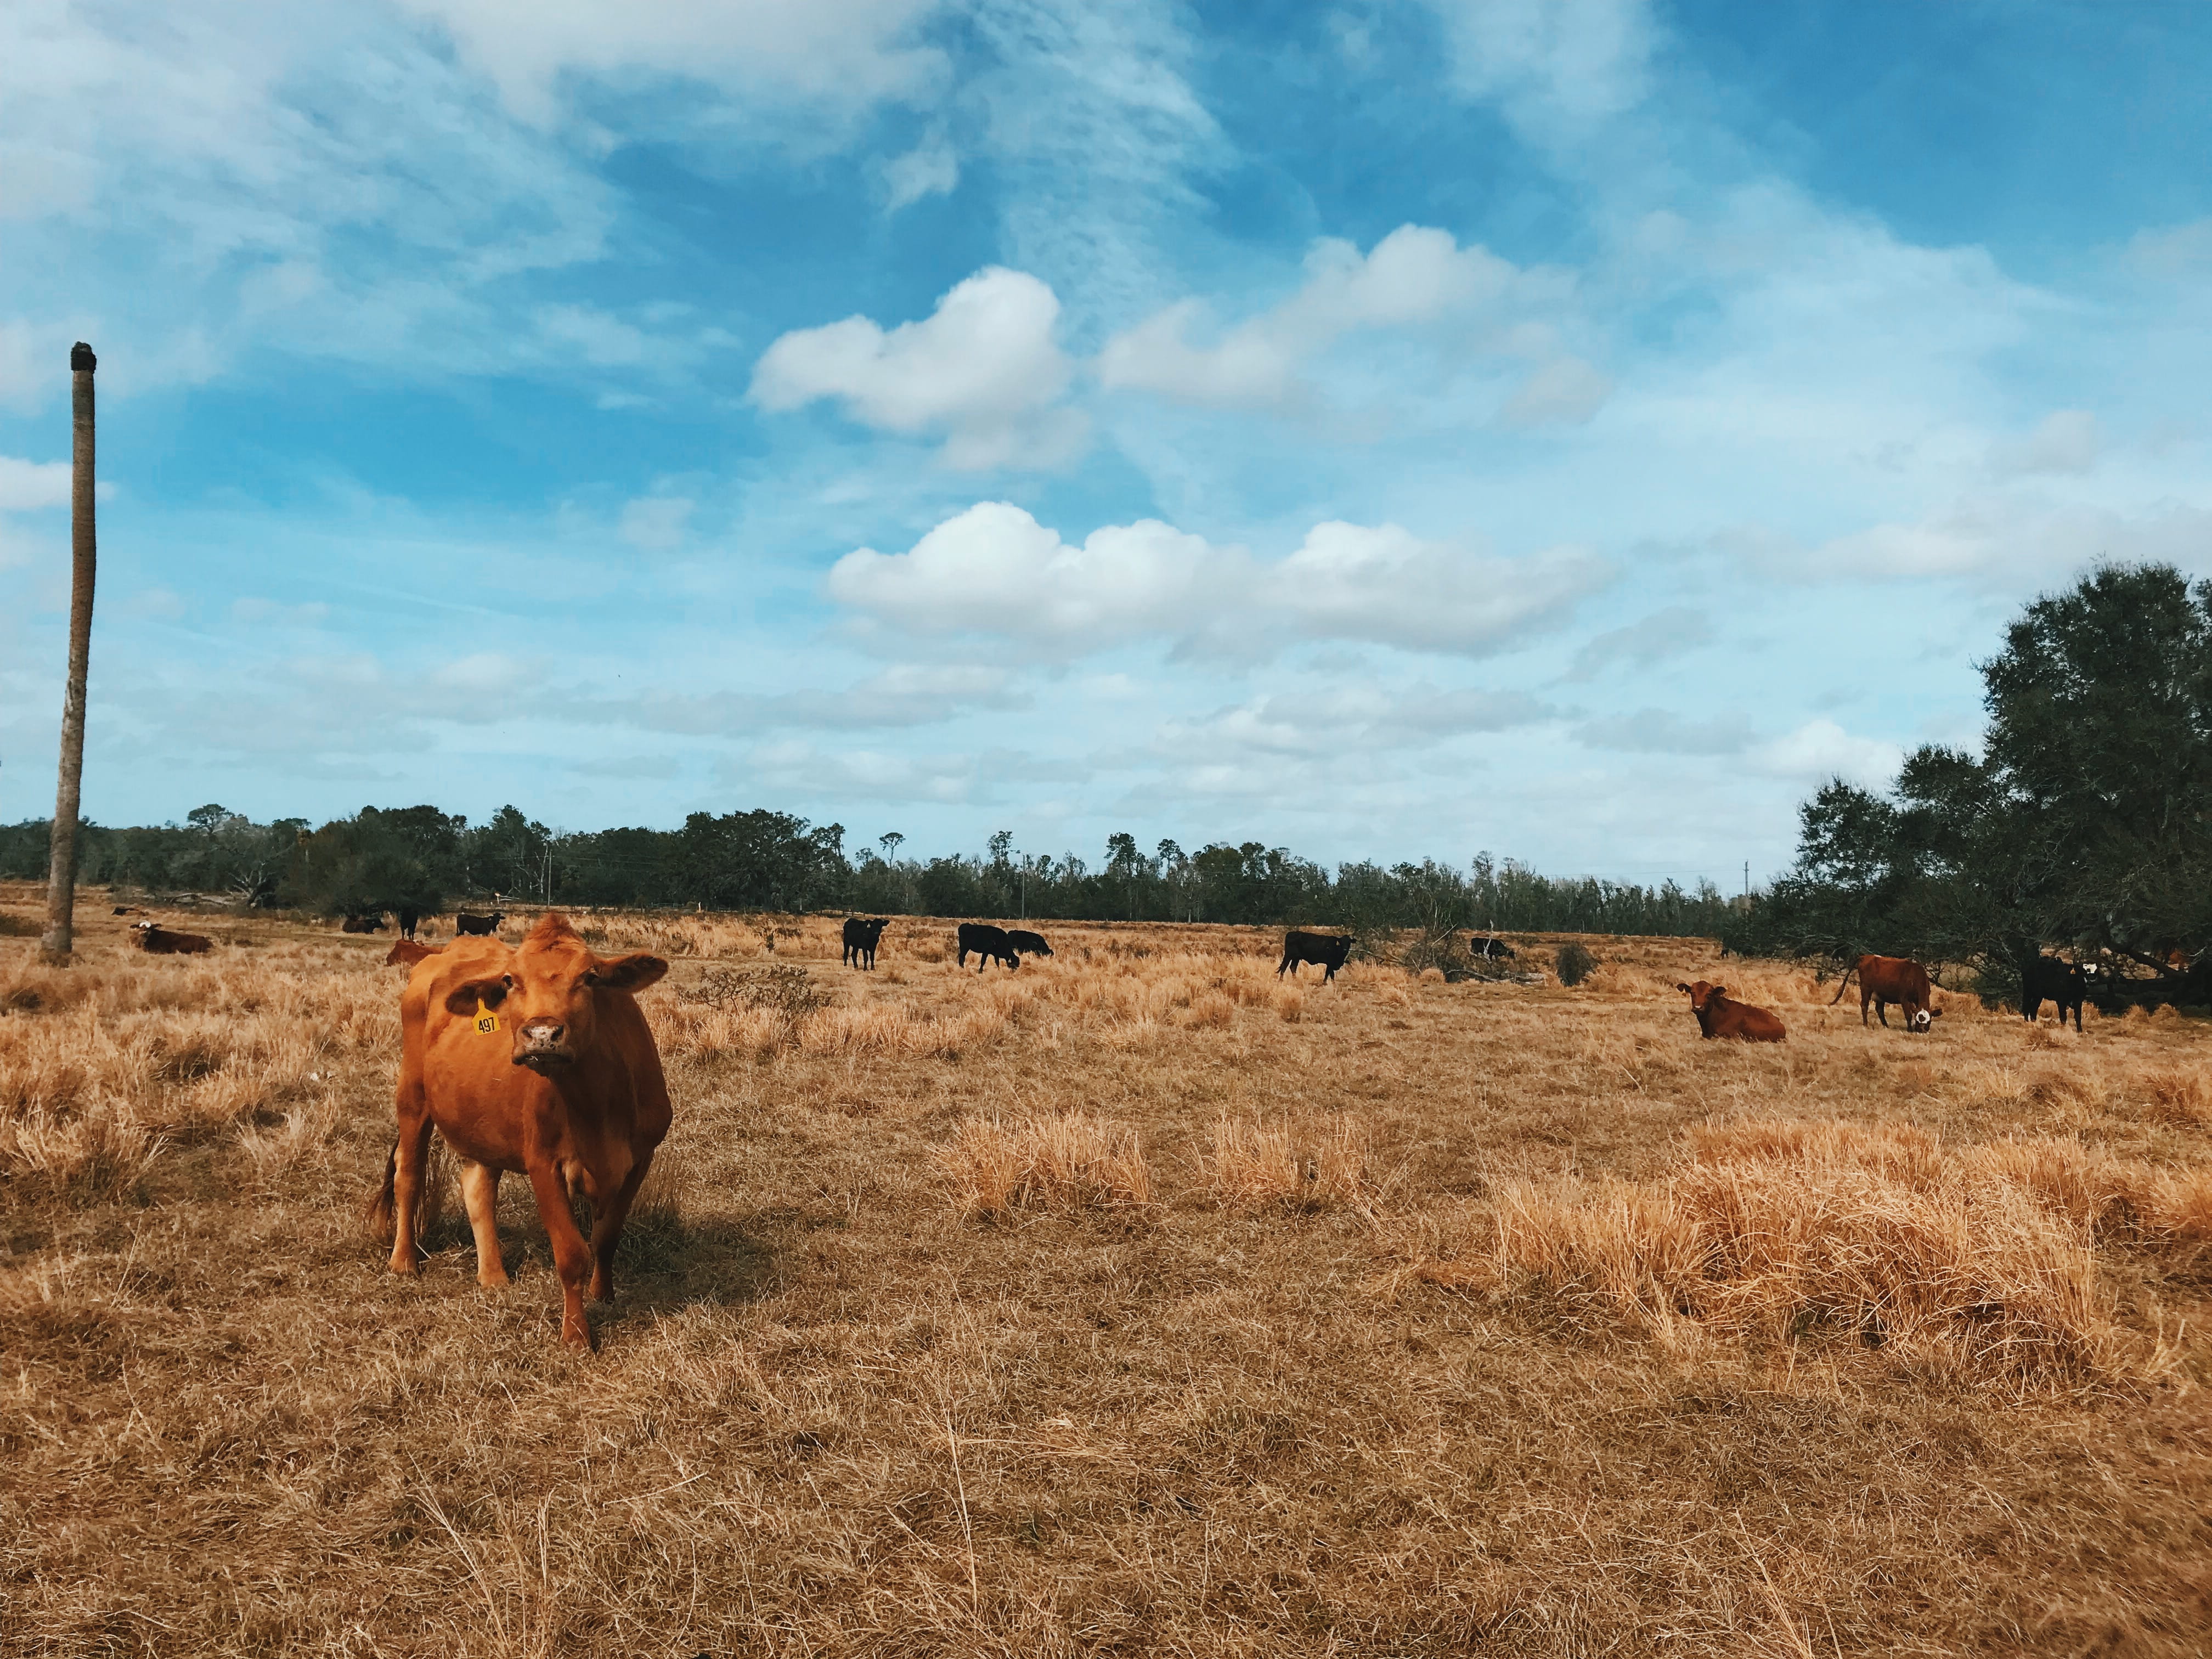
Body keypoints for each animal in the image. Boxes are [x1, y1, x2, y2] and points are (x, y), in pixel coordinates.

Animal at [370, 913, 672, 1350]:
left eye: (590, 977)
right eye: (511, 980)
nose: (542, 1035)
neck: (597, 1106)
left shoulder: (639, 1160)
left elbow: (606, 1237)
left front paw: (604, 1295)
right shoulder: (543, 1162)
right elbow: (571, 1253)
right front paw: (576, 1334)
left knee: (478, 1185)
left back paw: (493, 1275)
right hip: (412, 1095)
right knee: (408, 1173)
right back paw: (404, 1260)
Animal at [1277, 930, 1353, 983]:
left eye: (1349, 942)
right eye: (1341, 942)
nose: (1345, 949)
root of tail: (1290, 933)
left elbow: (1331, 975)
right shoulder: (1330, 964)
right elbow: (1329, 974)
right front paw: (1325, 983)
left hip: (1296, 958)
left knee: (1293, 967)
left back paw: (1295, 980)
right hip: (1289, 956)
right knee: (1284, 967)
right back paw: (1281, 981)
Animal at [1830, 954, 1942, 1033]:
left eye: (1929, 1021)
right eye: (1919, 1021)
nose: (1922, 1030)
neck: (1915, 977)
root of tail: (1865, 957)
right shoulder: (1904, 999)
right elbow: (1908, 1015)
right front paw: (1910, 1029)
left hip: (1880, 994)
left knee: (1879, 1010)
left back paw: (1886, 1026)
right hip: (1866, 989)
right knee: (1864, 1005)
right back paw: (1866, 1025)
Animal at [2021, 954, 2087, 1031]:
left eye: (2083, 977)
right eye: (2076, 976)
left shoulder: (2079, 1002)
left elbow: (2078, 1017)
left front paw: (2080, 1030)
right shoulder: (2061, 1001)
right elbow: (2063, 1017)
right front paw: (2064, 1028)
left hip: (2038, 996)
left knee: (2033, 1008)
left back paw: (2034, 1023)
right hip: (2028, 992)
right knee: (2026, 1007)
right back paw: (2027, 1022)